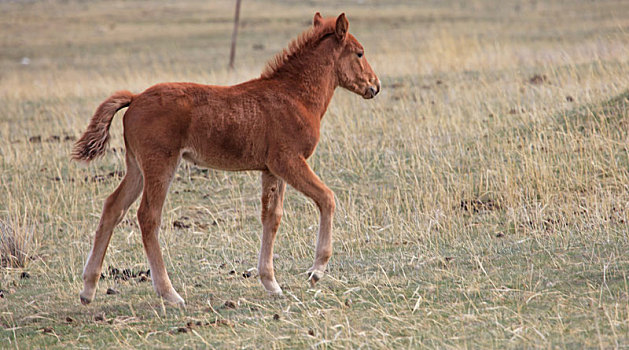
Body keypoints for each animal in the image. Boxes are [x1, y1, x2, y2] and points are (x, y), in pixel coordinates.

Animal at [73, 13, 378, 306]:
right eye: (360, 53)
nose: (375, 86)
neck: (295, 96)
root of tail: (135, 98)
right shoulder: (289, 161)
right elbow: (326, 198)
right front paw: (316, 271)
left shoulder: (271, 169)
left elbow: (272, 217)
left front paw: (271, 283)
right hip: (160, 164)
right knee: (148, 216)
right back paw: (169, 293)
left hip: (136, 167)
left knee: (113, 207)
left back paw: (88, 289)